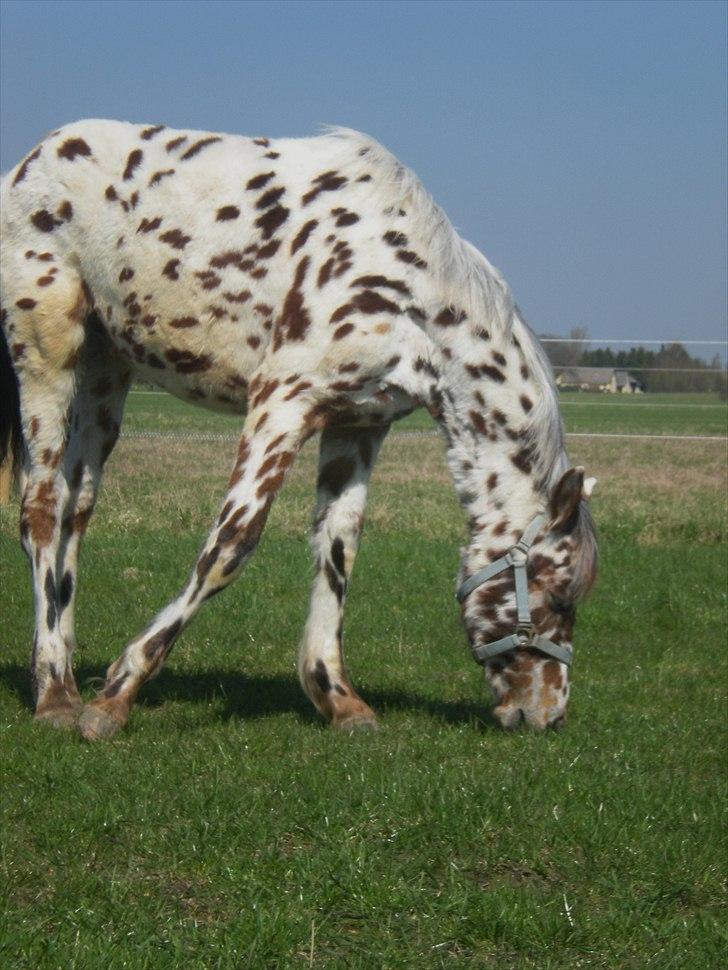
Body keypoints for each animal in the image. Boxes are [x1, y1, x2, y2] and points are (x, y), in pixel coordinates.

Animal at [0, 123, 596, 740]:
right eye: (557, 597)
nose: (546, 713)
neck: (412, 293)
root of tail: (28, 164)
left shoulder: (357, 424)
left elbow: (338, 548)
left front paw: (337, 697)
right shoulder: (282, 403)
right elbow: (230, 546)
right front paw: (119, 692)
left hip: (104, 375)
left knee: (76, 513)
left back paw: (60, 669)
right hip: (47, 357)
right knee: (41, 512)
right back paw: (55, 694)